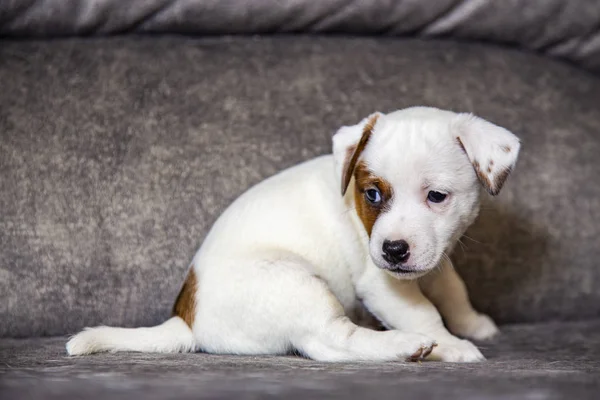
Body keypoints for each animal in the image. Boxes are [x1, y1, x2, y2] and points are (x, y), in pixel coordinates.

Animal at [67, 106, 520, 362]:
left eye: (437, 196)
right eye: (372, 194)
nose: (393, 250)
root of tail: (188, 319)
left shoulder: (436, 257)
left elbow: (452, 288)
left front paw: (473, 323)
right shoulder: (383, 283)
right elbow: (424, 313)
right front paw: (450, 344)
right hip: (298, 283)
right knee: (329, 343)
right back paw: (406, 346)